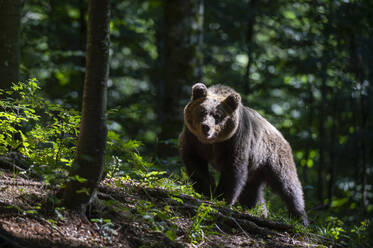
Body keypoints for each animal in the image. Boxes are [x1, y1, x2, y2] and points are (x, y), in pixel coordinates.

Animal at [179, 83, 306, 225]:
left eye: (218, 115)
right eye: (202, 111)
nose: (206, 127)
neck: (212, 142)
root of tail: (281, 135)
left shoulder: (236, 141)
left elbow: (233, 171)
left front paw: (221, 197)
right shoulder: (193, 139)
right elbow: (195, 164)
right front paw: (207, 190)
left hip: (272, 157)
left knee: (288, 186)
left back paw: (300, 218)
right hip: (255, 170)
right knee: (251, 191)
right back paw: (258, 210)